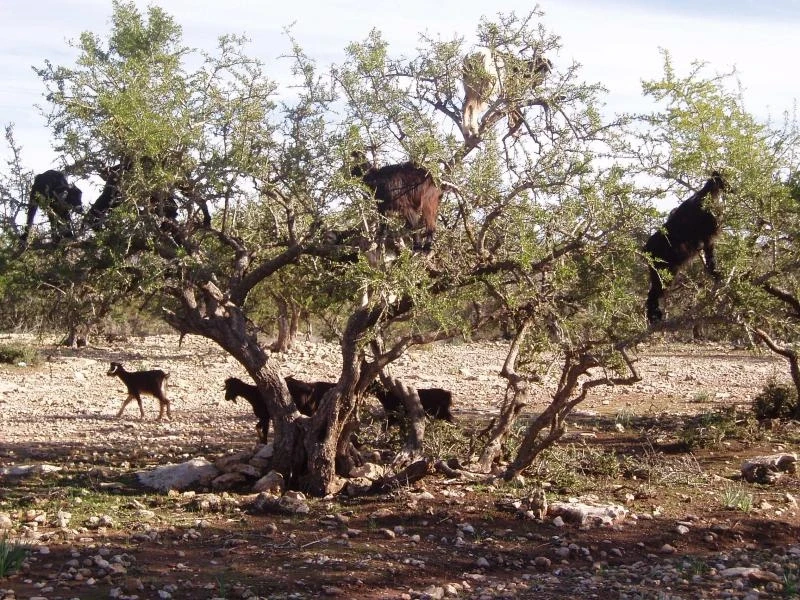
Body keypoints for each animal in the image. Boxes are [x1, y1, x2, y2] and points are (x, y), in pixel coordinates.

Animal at [644, 172, 728, 324]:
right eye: (724, 179)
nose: (732, 188)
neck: (707, 193)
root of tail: (646, 248)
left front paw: (716, 275)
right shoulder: (708, 235)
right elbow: (711, 258)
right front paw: (717, 274)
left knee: (652, 293)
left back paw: (655, 318)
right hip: (666, 270)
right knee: (654, 294)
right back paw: (655, 318)